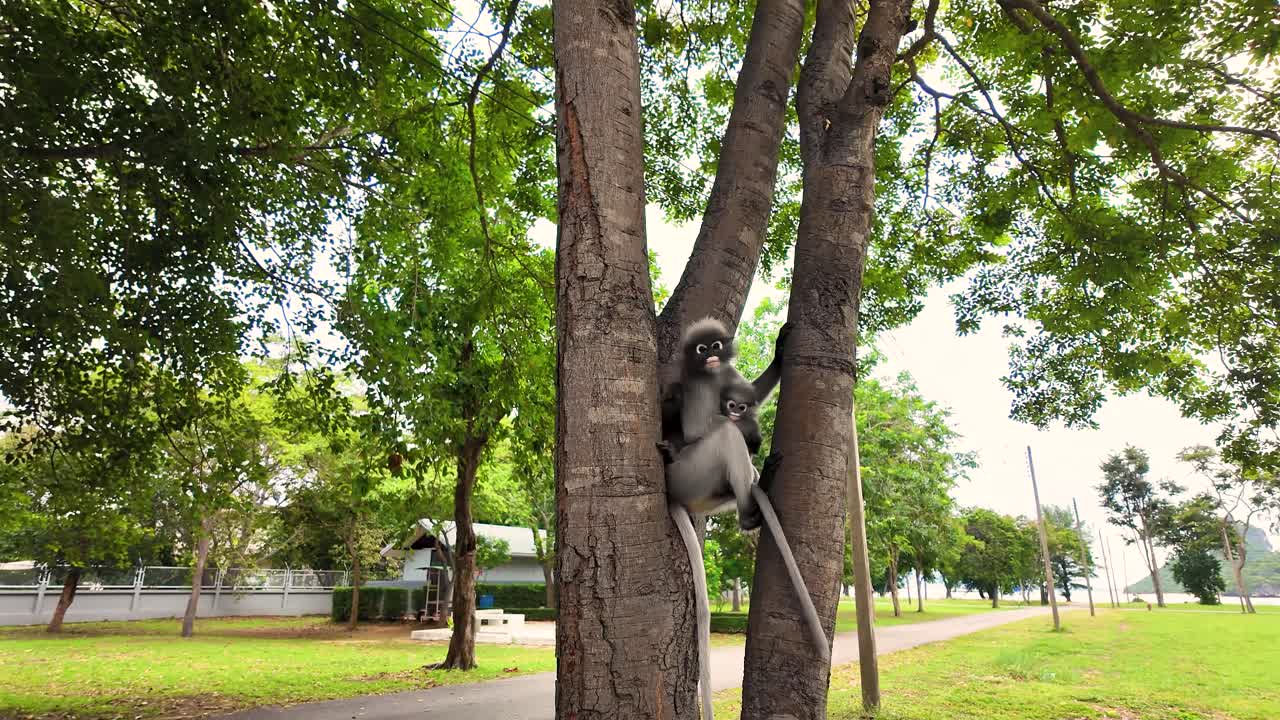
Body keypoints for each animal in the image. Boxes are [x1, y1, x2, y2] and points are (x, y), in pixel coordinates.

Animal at [659, 318, 829, 720]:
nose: (711, 356)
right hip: (691, 473)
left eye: (716, 346)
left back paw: (753, 495)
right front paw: (747, 430)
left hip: (708, 490)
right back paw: (751, 506)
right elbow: (699, 429)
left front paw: (780, 356)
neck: (711, 374)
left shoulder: (726, 377)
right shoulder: (699, 386)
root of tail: (675, 493)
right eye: (701, 349)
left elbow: (750, 389)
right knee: (724, 435)